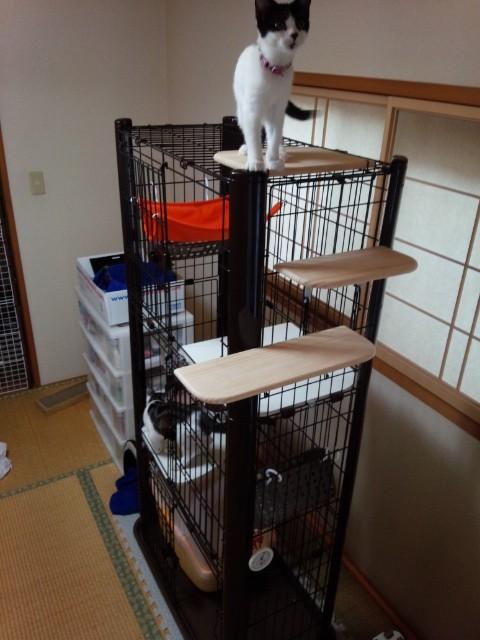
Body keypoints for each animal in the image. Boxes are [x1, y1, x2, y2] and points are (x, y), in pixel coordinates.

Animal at [233, 0, 312, 172]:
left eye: (300, 23)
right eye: (278, 24)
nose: (294, 34)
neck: (275, 67)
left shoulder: (278, 108)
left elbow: (274, 136)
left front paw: (273, 160)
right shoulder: (252, 109)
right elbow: (253, 136)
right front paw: (255, 161)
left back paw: (281, 152)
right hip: (242, 109)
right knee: (249, 128)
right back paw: (246, 149)